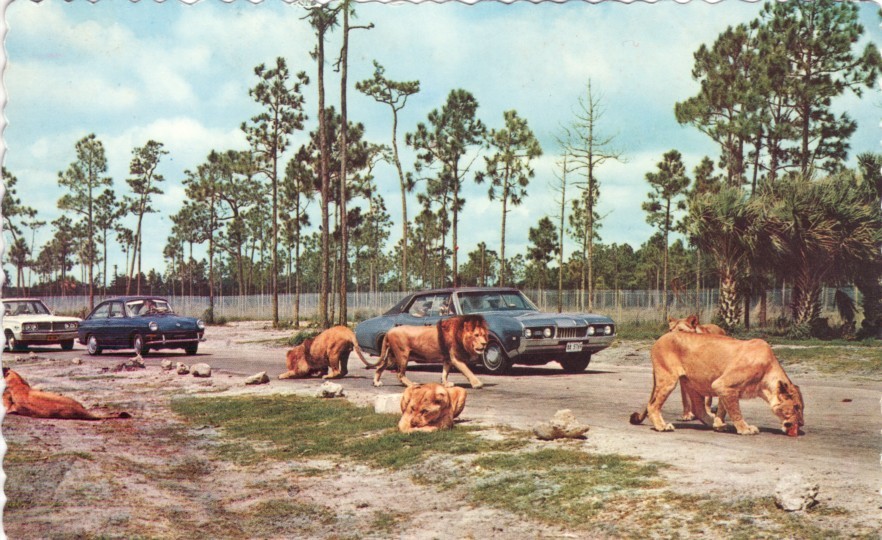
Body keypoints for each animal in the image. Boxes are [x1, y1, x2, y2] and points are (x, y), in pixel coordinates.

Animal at [624, 332, 804, 436]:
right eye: (796, 407)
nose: (801, 424)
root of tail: (660, 338)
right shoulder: (723, 384)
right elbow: (736, 411)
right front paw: (745, 429)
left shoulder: (725, 388)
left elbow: (725, 407)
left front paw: (719, 423)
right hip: (668, 379)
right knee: (653, 405)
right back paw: (662, 426)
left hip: (691, 382)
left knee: (698, 409)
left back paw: (716, 424)